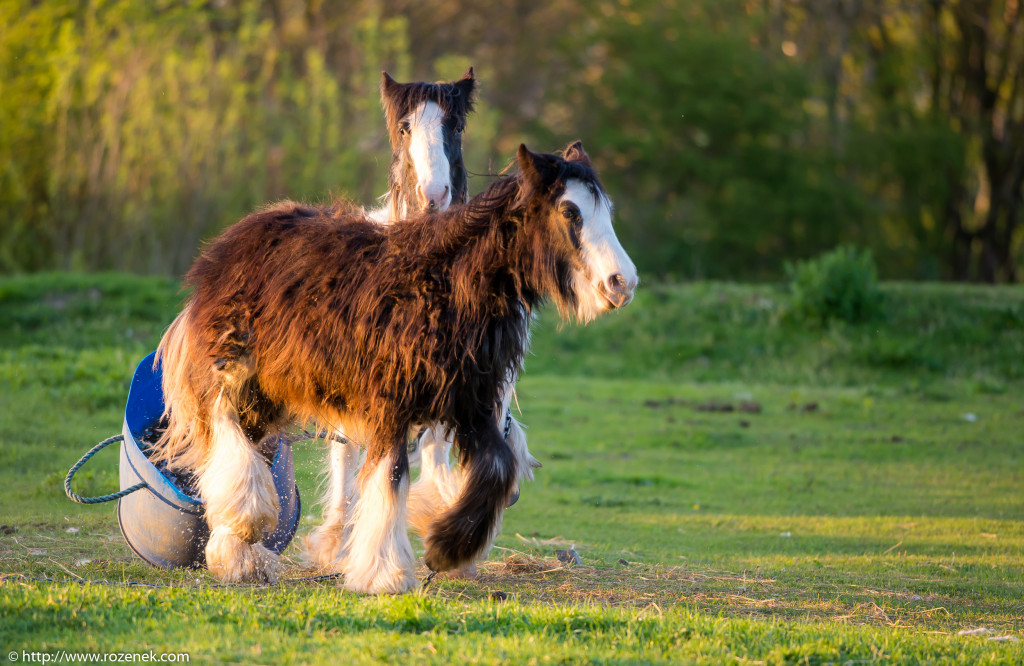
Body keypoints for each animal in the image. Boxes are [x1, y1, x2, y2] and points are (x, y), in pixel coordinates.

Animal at [152, 141, 634, 590]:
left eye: (607, 211)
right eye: (570, 211)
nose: (623, 284)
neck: (449, 286)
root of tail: (228, 245)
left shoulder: (471, 403)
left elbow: (498, 466)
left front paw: (446, 547)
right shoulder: (390, 403)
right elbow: (391, 475)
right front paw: (383, 572)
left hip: (268, 394)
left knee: (247, 445)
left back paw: (239, 557)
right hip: (236, 372)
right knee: (225, 432)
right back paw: (248, 524)